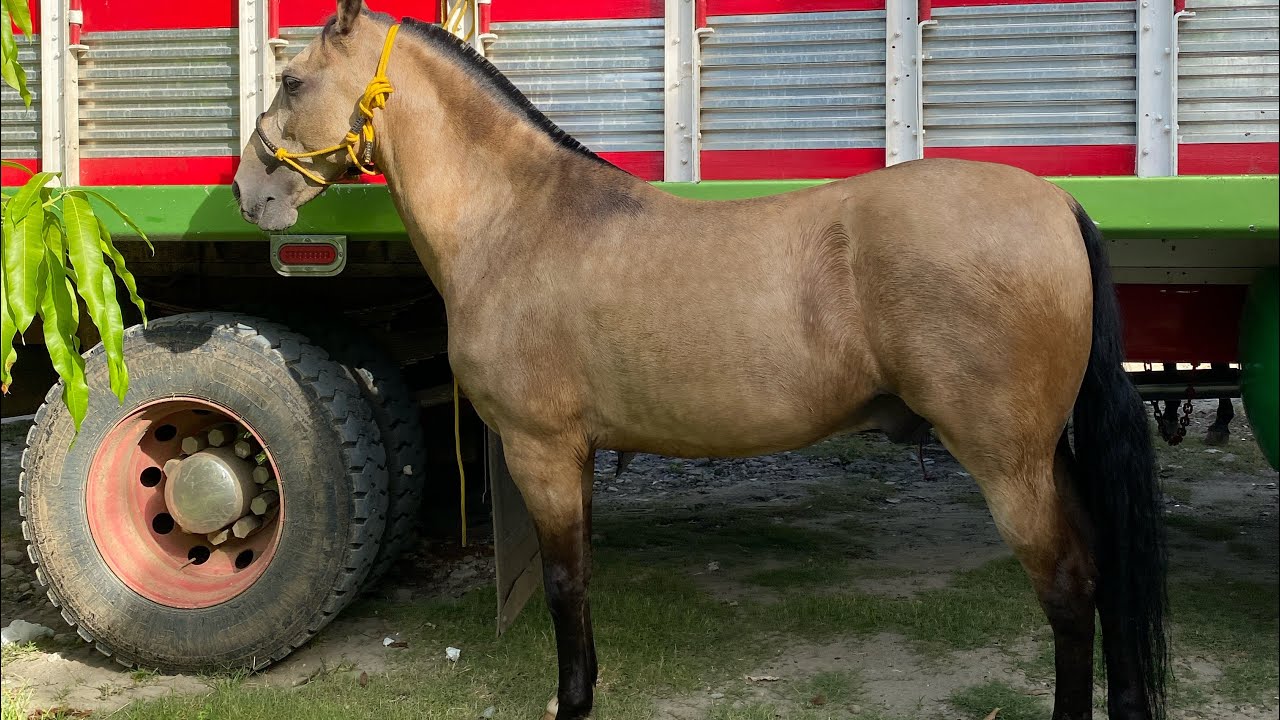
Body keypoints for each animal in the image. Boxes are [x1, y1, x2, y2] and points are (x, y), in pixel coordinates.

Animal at [231, 3, 1168, 718]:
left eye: (292, 82)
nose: (249, 191)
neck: (516, 219)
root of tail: (1056, 203)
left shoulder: (541, 450)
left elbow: (565, 584)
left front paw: (572, 702)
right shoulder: (574, 456)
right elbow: (582, 576)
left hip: (1006, 461)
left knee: (1067, 586)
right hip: (1047, 456)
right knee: (1108, 569)